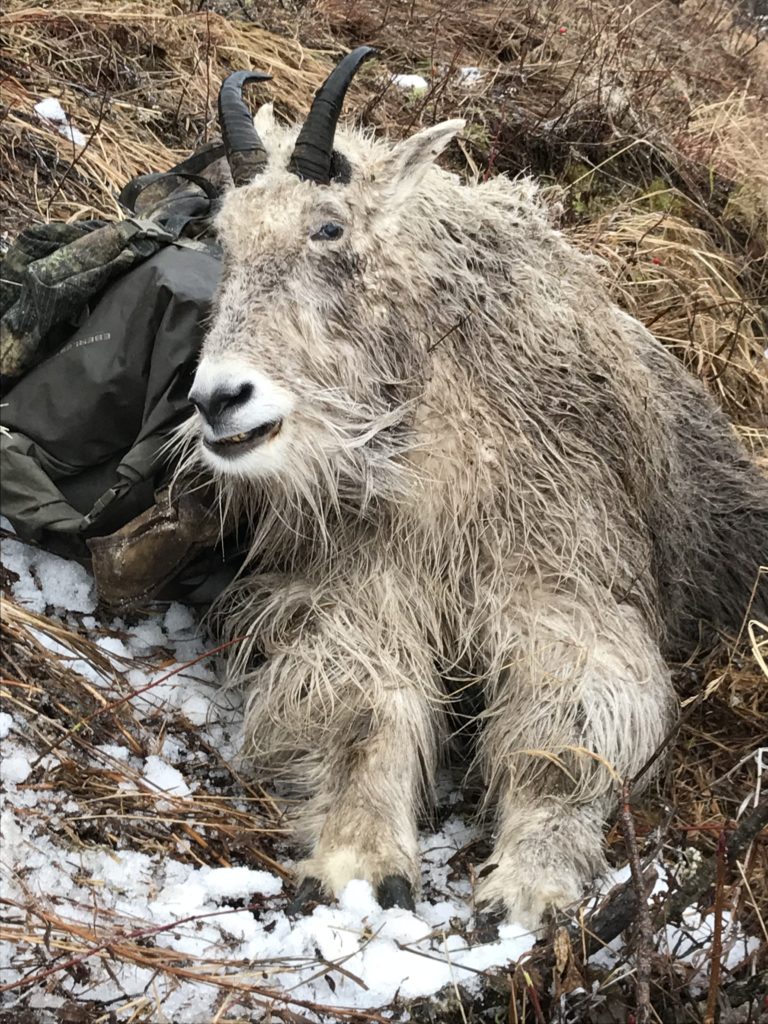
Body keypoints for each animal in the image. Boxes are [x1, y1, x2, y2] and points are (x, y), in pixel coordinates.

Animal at [179, 48, 768, 929]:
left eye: (330, 227)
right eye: (225, 238)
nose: (220, 400)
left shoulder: (566, 586)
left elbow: (570, 736)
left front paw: (530, 883)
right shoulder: (363, 587)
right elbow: (363, 710)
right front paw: (359, 860)